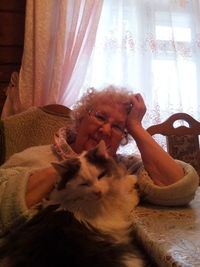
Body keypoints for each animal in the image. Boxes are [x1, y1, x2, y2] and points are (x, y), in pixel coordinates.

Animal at [0, 141, 150, 266]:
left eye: (101, 176)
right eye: (83, 184)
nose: (98, 192)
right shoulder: (119, 208)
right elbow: (127, 193)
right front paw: (135, 185)